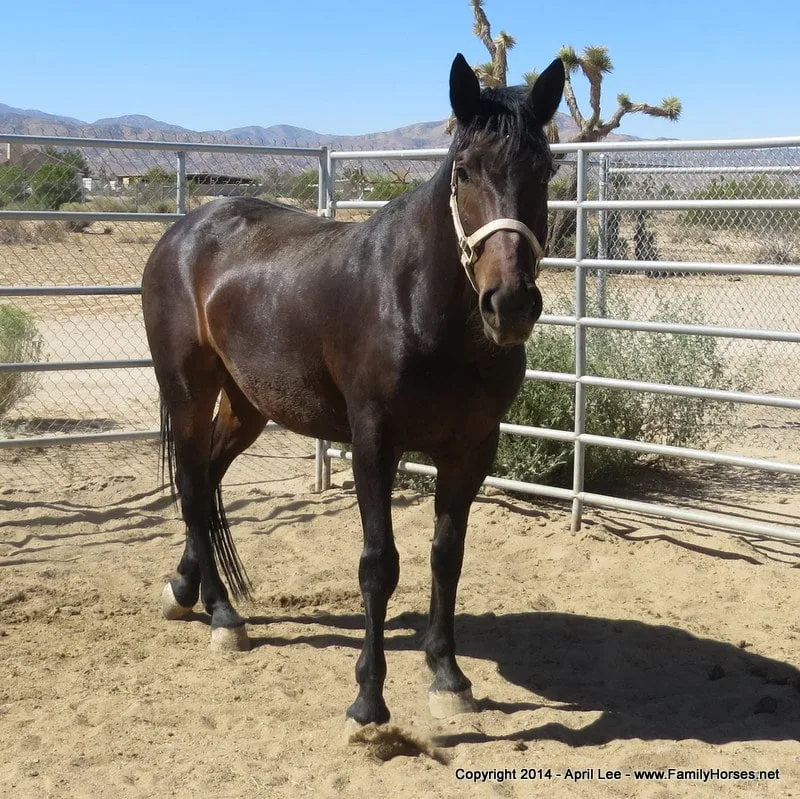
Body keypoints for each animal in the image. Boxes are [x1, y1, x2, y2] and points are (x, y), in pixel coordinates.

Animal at [142, 54, 568, 732]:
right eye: (465, 170)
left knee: (205, 483)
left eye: (546, 170)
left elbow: (447, 556)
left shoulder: (472, 448)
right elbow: (379, 565)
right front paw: (369, 700)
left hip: (247, 405)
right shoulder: (374, 443)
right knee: (189, 481)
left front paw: (448, 676)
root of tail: (183, 231)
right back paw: (221, 615)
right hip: (188, 391)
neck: (419, 305)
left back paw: (186, 593)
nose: (509, 305)